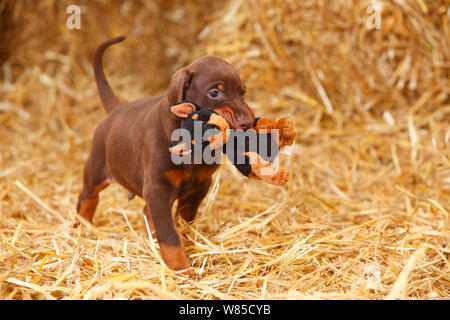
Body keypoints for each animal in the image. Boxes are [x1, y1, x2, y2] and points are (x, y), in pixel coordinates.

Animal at [77, 35, 296, 276]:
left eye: (243, 92)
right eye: (214, 93)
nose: (248, 121)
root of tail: (115, 110)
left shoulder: (198, 187)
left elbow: (182, 223)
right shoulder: (158, 188)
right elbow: (170, 236)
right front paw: (182, 270)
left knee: (145, 211)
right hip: (97, 169)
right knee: (87, 198)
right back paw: (80, 229)